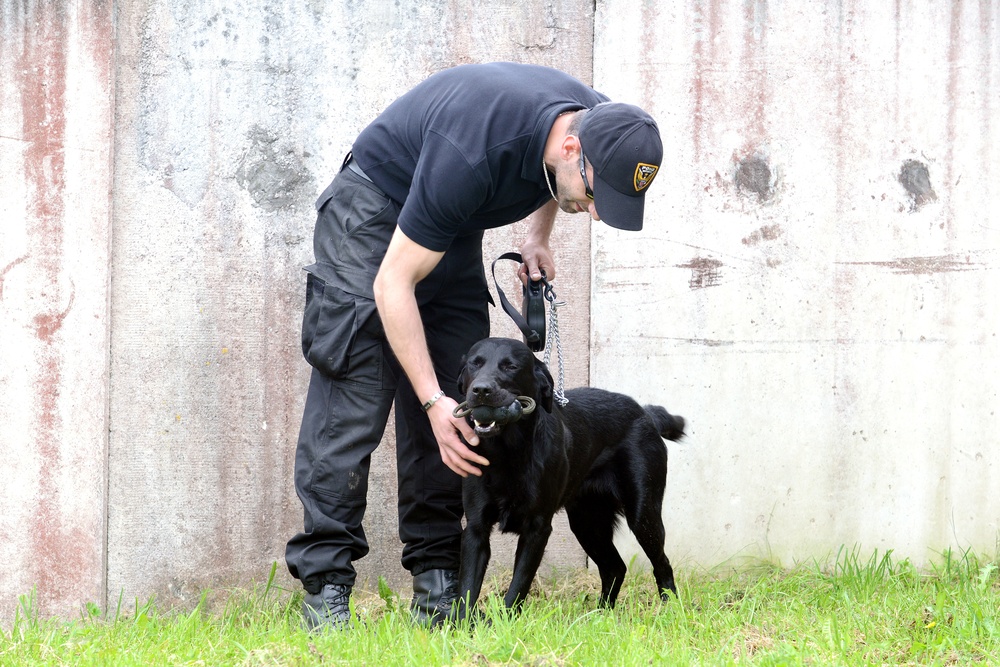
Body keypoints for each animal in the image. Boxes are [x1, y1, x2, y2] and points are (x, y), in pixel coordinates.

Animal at [456, 336, 684, 624]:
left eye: (511, 366)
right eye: (474, 364)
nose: (481, 390)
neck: (507, 453)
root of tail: (646, 413)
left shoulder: (537, 528)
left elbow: (519, 585)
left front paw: (505, 623)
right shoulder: (475, 528)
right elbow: (467, 588)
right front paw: (464, 627)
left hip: (643, 514)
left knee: (661, 563)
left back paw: (670, 610)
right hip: (587, 521)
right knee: (615, 567)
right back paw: (599, 616)